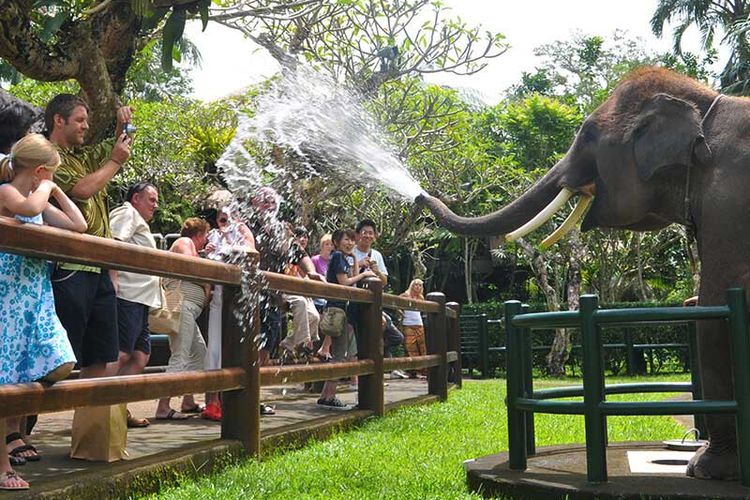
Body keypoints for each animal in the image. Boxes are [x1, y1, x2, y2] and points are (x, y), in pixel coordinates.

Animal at [417, 67, 750, 480]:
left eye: (588, 134)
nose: (419, 196)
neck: (706, 105)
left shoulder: (727, 204)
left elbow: (714, 305)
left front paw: (704, 470)